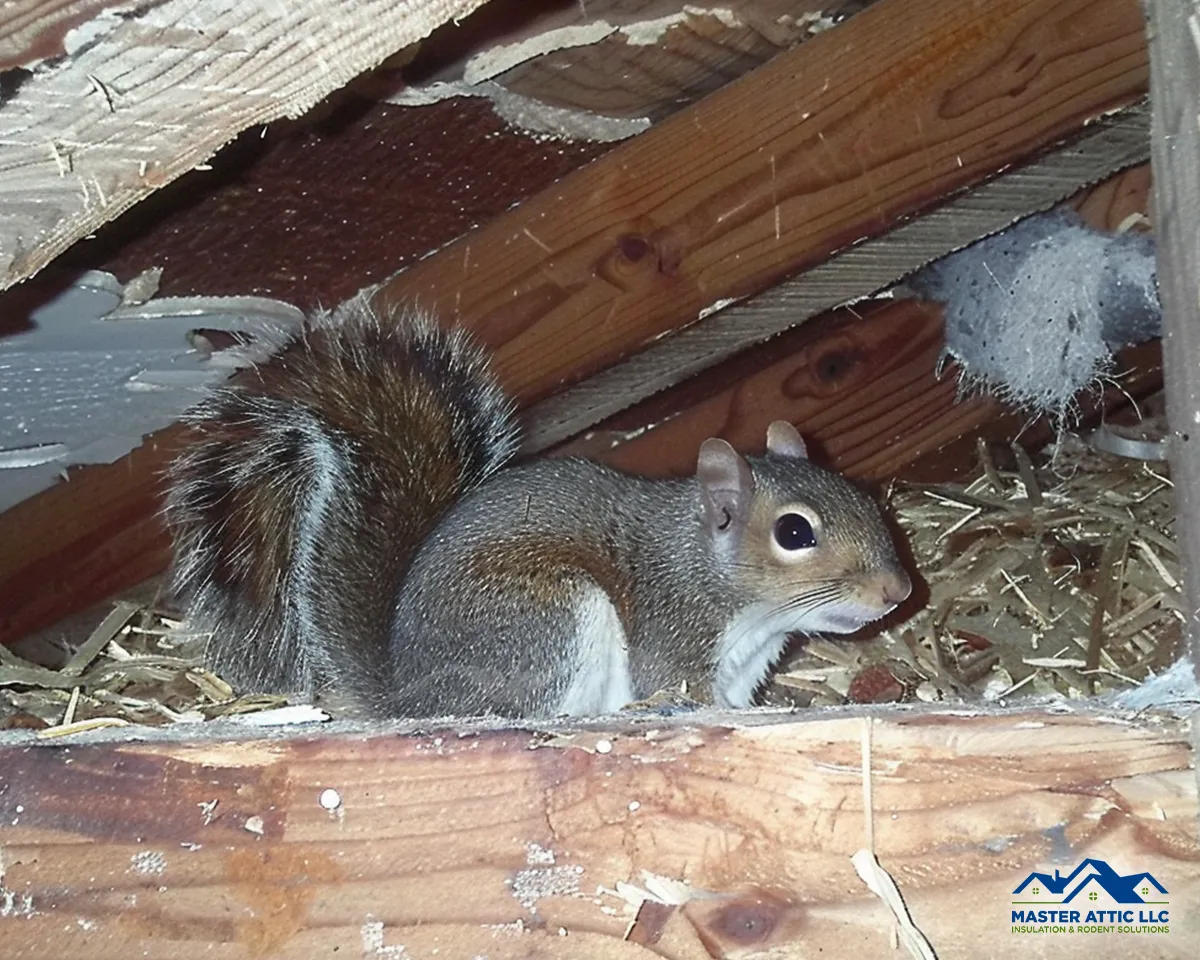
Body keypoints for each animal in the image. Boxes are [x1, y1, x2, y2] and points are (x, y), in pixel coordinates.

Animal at [166, 293, 912, 719]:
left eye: (863, 497)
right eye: (795, 533)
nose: (898, 591)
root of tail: (411, 701)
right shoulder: (674, 627)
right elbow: (682, 687)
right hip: (545, 619)